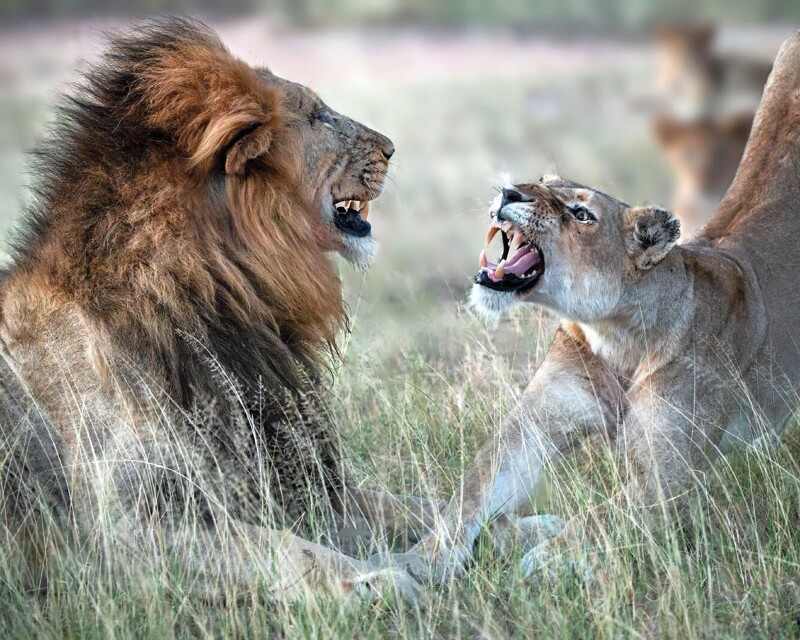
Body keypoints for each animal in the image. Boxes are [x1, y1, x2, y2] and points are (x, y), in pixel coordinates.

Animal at [0, 16, 440, 604]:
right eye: (317, 115)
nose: (391, 149)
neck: (229, 300)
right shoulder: (121, 530)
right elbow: (289, 551)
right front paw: (378, 581)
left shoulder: (290, 474)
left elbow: (426, 505)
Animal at [382, 32, 800, 584]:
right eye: (538, 181)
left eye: (581, 214)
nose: (508, 190)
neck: (616, 336)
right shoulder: (534, 424)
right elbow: (471, 493)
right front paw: (409, 565)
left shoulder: (668, 474)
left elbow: (597, 519)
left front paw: (537, 561)